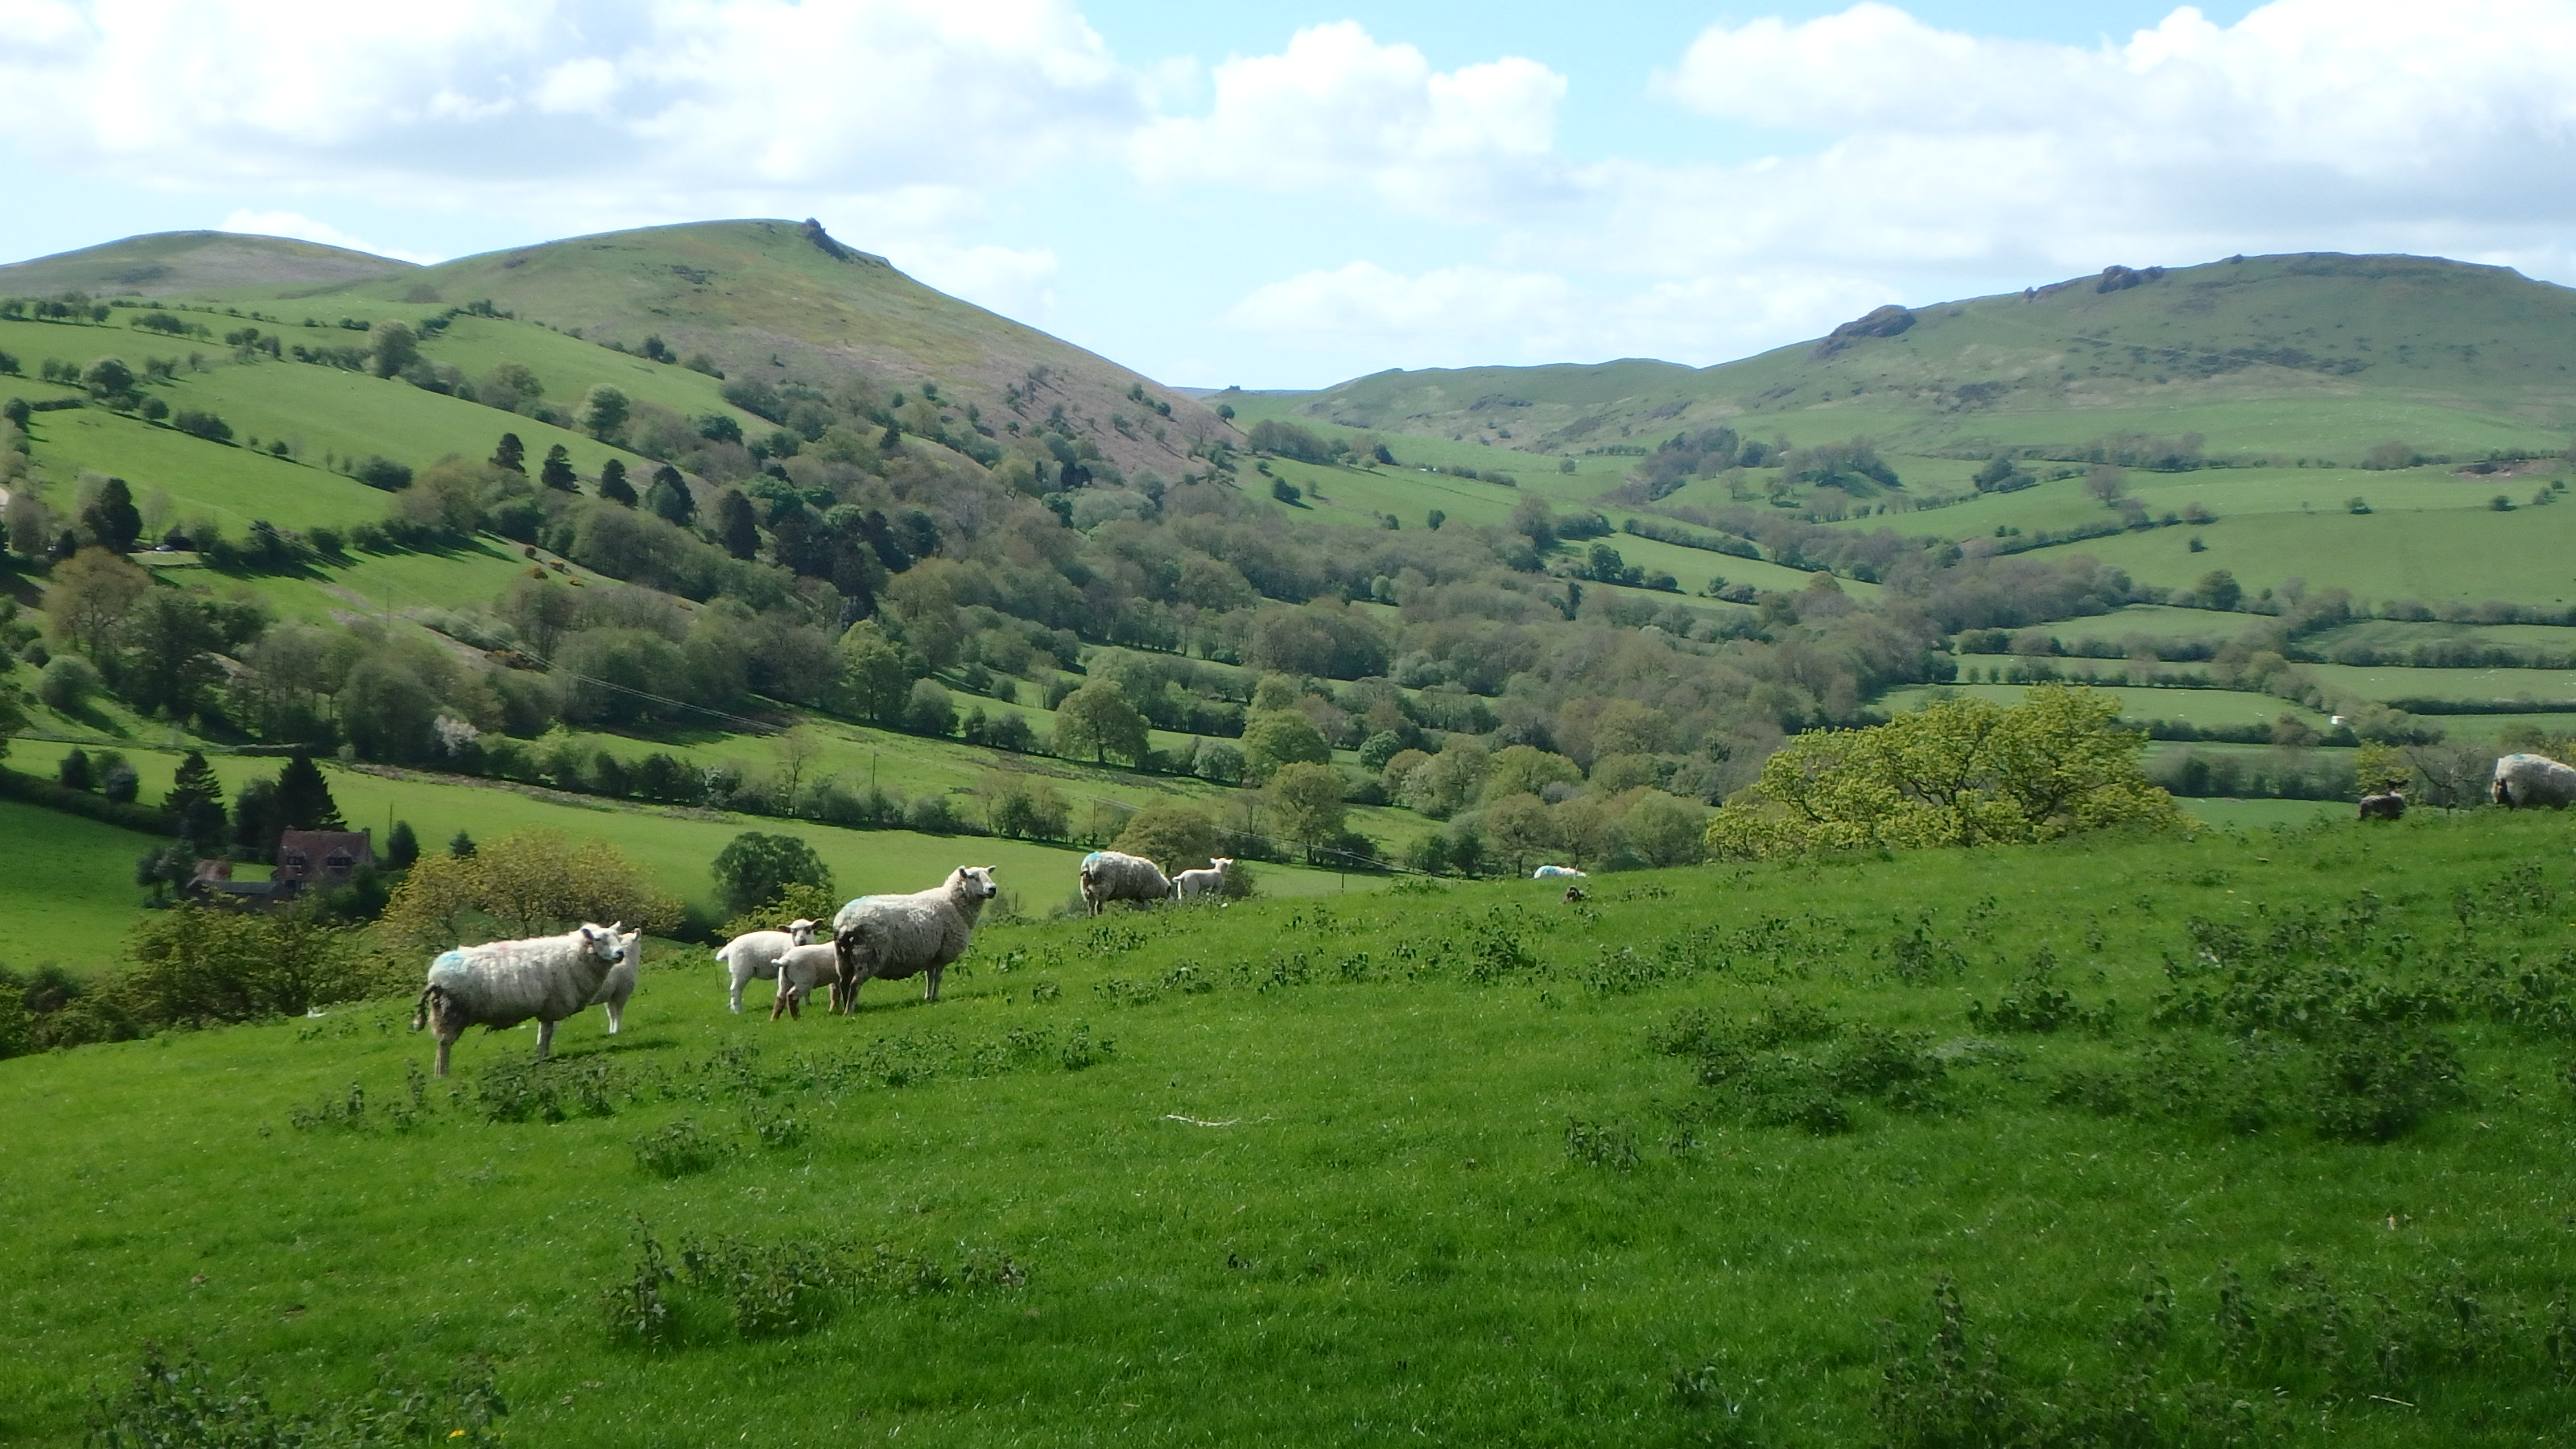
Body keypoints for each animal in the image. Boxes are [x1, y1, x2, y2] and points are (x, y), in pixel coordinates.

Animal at [417, 923, 634, 1072]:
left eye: (618, 937)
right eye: (598, 939)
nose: (620, 954)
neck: (574, 955)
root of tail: (435, 975)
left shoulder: (547, 1008)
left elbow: (545, 1035)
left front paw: (543, 1056)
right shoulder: (552, 1006)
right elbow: (545, 1035)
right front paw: (543, 1057)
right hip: (449, 1013)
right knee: (444, 1045)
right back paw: (442, 1075)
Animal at [589, 923, 644, 1026]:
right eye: (639, 942)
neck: (627, 960)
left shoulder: (609, 997)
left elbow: (611, 1016)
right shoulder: (621, 994)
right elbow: (618, 1015)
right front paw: (617, 1029)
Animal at [829, 861, 999, 1010]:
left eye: (988, 874)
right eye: (972, 877)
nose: (993, 889)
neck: (954, 903)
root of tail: (846, 920)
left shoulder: (932, 954)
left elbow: (929, 976)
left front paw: (928, 998)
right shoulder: (943, 953)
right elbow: (938, 977)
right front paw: (935, 997)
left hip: (843, 957)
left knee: (844, 983)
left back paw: (846, 1007)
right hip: (868, 954)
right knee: (854, 984)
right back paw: (849, 1011)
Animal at [1076, 845, 1179, 912]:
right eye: (1170, 892)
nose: (1173, 905)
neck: (1159, 884)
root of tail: (1088, 865)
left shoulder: (1139, 896)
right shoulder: (1145, 893)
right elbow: (1147, 906)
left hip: (1087, 889)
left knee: (1091, 905)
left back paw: (1092, 917)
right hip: (1103, 888)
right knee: (1098, 905)